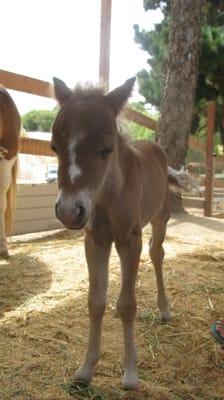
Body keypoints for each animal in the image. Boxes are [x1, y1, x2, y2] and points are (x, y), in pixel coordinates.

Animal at [51, 76, 197, 390]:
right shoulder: (96, 241)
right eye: (54, 147)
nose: (69, 211)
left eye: (107, 148)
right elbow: (96, 301)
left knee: (156, 254)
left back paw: (164, 309)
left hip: (160, 218)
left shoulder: (130, 239)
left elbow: (129, 304)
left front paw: (130, 374)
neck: (107, 195)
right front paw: (85, 370)